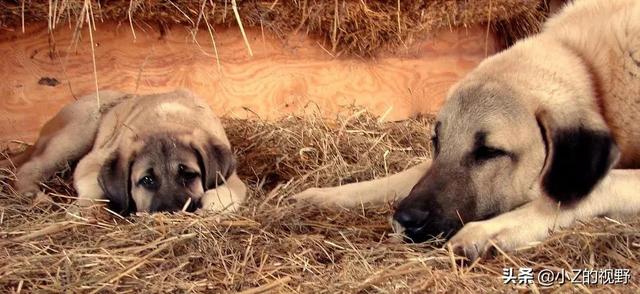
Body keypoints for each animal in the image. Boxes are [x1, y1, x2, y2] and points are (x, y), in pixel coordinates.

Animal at [3, 88, 245, 215]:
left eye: (189, 175)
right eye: (147, 180)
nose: (171, 212)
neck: (167, 122)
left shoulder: (232, 179)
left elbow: (221, 194)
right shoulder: (92, 162)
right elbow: (93, 187)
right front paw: (84, 208)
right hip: (76, 134)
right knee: (29, 167)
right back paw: (33, 195)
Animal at [294, 0, 640, 260]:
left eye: (489, 152)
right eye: (437, 141)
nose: (405, 220)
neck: (592, 71)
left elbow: (586, 190)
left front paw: (492, 230)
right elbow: (407, 174)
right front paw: (326, 195)